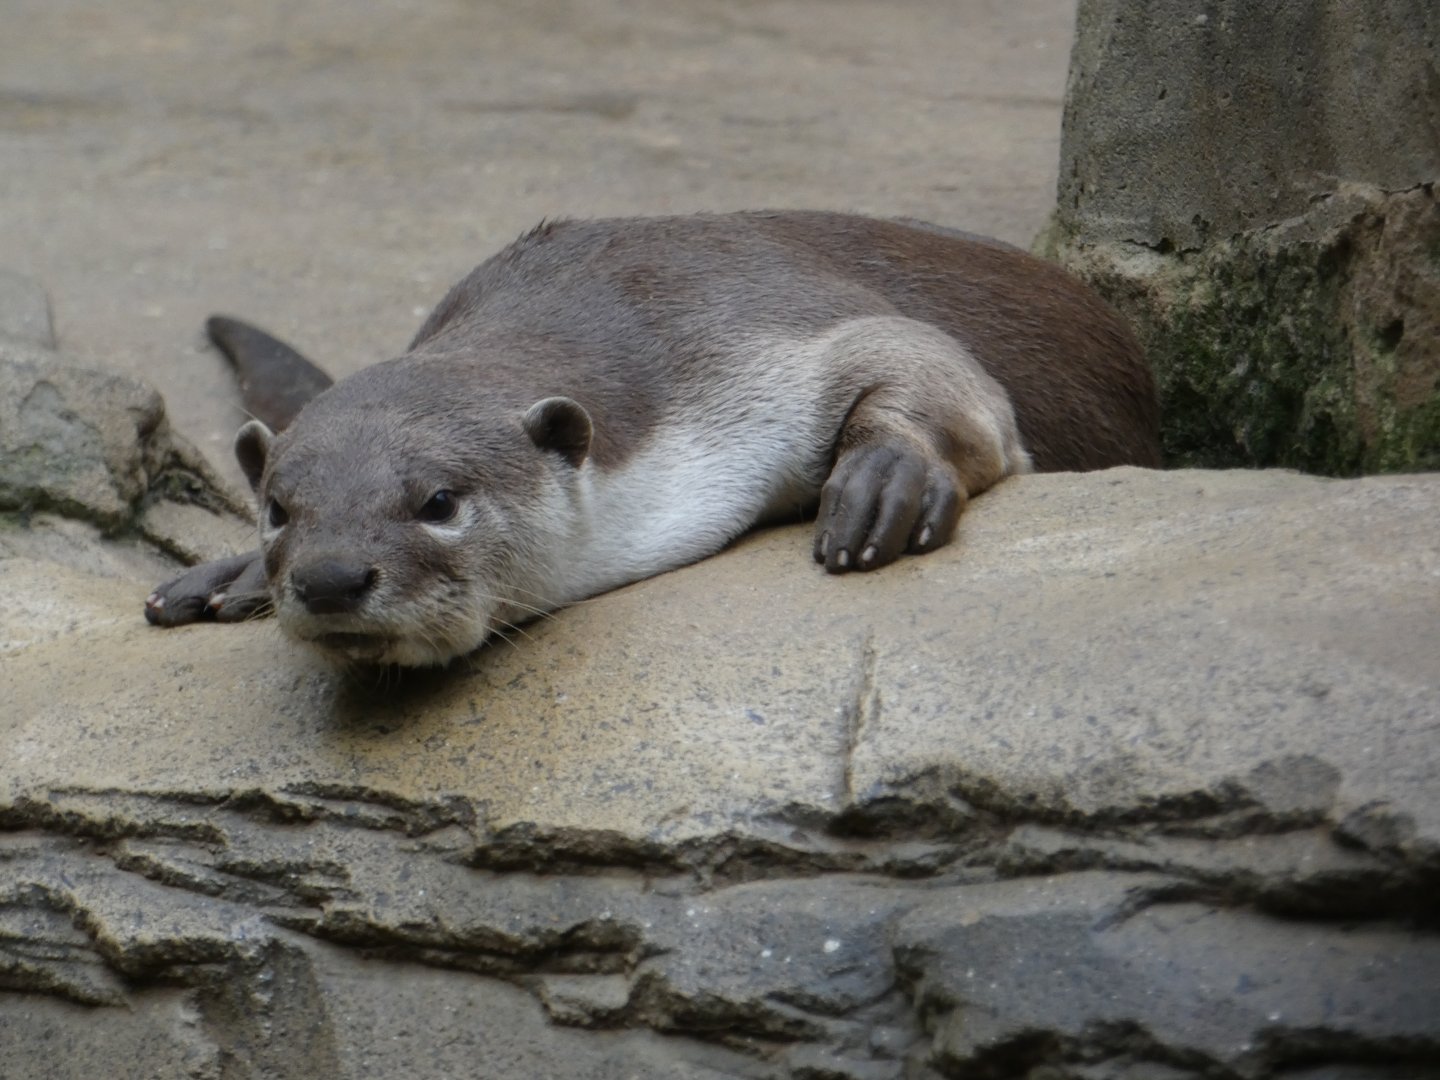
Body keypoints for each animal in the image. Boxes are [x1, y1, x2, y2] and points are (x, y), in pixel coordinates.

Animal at [145, 211, 1160, 667]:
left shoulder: (769, 322)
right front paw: (233, 572)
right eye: (279, 510)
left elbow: (939, 378)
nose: (328, 578)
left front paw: (882, 479)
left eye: (438, 501)